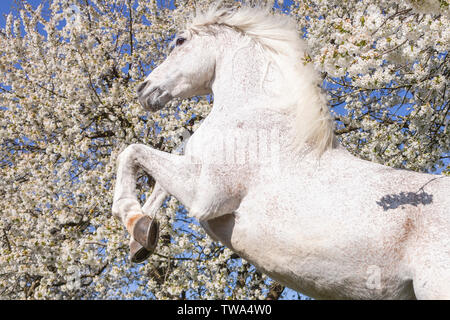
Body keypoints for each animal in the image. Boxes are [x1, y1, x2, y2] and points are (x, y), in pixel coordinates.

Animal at [110, 5, 450, 300]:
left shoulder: (205, 196)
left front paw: (134, 219)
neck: (256, 115)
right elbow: (158, 182)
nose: (143, 90)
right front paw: (141, 238)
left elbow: (132, 152)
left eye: (180, 41)